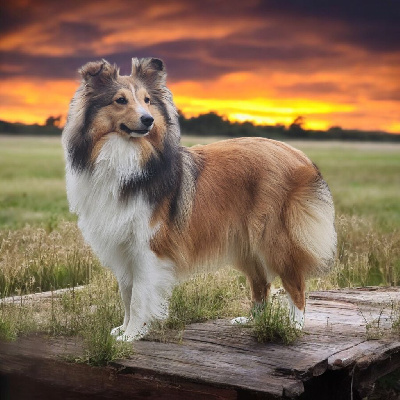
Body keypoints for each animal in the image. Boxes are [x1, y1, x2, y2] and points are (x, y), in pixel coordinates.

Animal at [62, 57, 338, 342]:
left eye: (147, 100)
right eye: (120, 100)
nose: (148, 120)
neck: (127, 155)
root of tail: (301, 157)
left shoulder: (147, 247)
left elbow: (138, 297)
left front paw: (132, 335)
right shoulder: (123, 247)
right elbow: (126, 295)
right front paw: (124, 329)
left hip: (274, 238)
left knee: (295, 283)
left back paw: (294, 326)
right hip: (246, 241)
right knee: (261, 283)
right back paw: (251, 320)